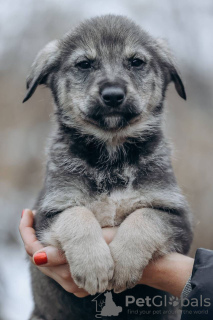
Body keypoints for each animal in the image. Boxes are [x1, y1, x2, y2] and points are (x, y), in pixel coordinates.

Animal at [23, 13, 193, 318]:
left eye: (136, 62)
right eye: (84, 64)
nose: (113, 95)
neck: (112, 159)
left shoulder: (176, 216)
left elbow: (144, 218)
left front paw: (124, 263)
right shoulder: (47, 214)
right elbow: (76, 215)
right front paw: (94, 266)